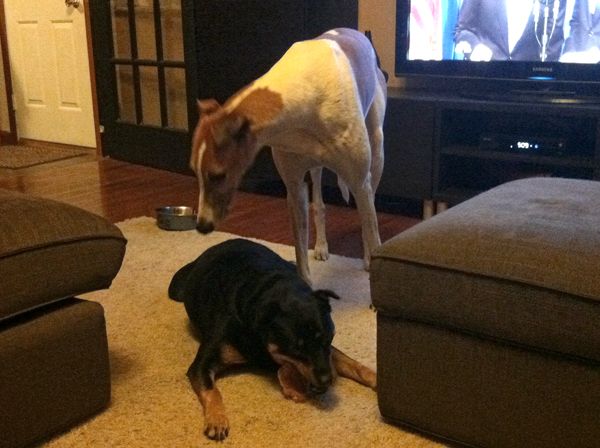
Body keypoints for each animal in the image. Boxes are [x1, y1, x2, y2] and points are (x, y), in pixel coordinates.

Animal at [168, 238, 376, 440]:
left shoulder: (328, 351)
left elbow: (354, 365)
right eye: (296, 350)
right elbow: (212, 390)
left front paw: (376, 380)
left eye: (329, 338)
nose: (328, 380)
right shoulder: (202, 364)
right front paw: (217, 420)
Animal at [189, 28, 390, 284]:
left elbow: (370, 226)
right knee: (320, 203)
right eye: (194, 171)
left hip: (376, 153)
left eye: (217, 175)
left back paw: (366, 258)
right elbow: (300, 252)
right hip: (316, 167)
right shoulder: (294, 187)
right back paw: (321, 246)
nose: (202, 226)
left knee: (370, 210)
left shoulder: (359, 182)